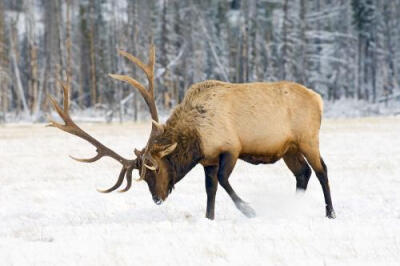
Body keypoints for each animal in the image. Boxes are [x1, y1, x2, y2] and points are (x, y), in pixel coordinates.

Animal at [48, 44, 336, 220]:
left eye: (155, 169)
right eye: (143, 176)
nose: (157, 199)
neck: (196, 139)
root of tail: (319, 99)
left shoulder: (231, 148)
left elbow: (222, 180)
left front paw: (249, 210)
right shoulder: (208, 159)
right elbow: (210, 189)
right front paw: (209, 217)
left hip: (308, 138)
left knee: (321, 170)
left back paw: (330, 213)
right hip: (289, 148)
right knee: (303, 173)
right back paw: (293, 208)